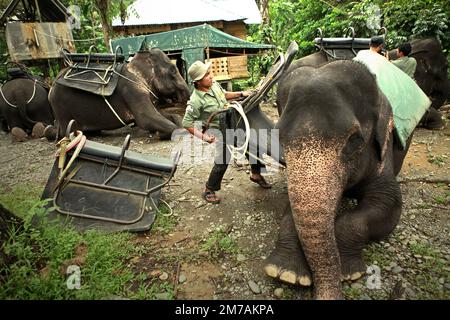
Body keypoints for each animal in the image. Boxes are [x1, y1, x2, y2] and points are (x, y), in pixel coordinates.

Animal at [47, 49, 190, 140]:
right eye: (173, 70)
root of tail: (51, 86)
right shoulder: (131, 89)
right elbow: (145, 119)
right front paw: (159, 134)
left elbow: (164, 115)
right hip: (61, 108)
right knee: (64, 132)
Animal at [264, 59, 414, 300]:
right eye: (279, 138)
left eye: (354, 139)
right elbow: (291, 206)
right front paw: (285, 273)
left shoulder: (384, 151)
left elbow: (389, 203)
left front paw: (348, 273)